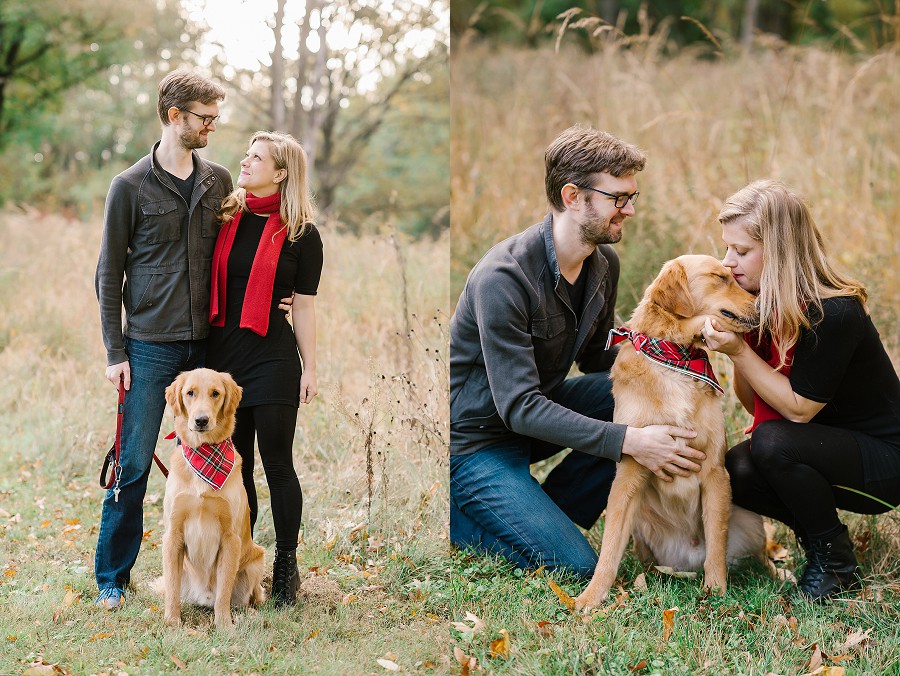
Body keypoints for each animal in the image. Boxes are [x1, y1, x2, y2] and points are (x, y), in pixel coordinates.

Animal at [155, 370, 266, 628]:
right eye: (190, 393)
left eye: (215, 393)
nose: (201, 420)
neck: (203, 454)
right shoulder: (173, 534)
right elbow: (172, 588)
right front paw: (172, 621)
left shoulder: (230, 538)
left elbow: (224, 590)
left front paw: (224, 624)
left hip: (256, 559)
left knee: (252, 596)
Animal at [576, 255, 772, 612]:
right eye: (720, 277)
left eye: (734, 275)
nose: (764, 306)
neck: (675, 356)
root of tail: (683, 562)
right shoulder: (629, 471)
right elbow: (609, 549)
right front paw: (591, 597)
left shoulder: (715, 472)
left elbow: (716, 547)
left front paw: (716, 592)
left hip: (750, 519)